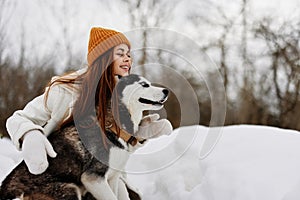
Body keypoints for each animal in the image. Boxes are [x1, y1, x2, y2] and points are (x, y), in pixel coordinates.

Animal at [0, 74, 169, 199]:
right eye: (144, 85)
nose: (166, 90)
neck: (113, 125)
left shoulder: (112, 178)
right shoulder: (93, 178)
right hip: (69, 190)